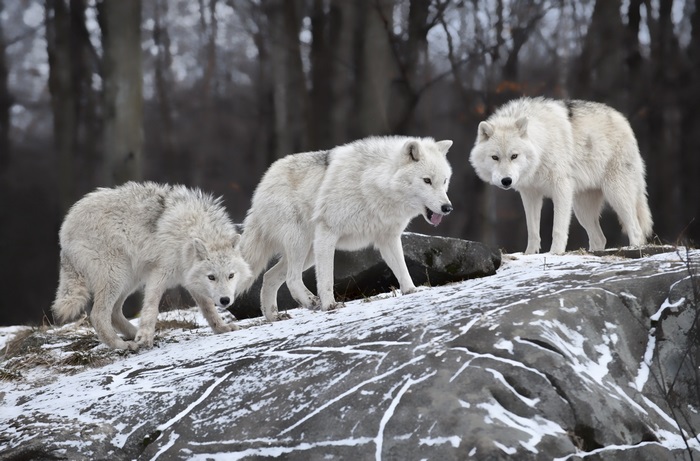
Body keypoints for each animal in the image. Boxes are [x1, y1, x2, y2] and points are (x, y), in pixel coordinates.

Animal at [52, 182, 252, 350]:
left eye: (231, 275)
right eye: (212, 277)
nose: (225, 300)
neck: (188, 233)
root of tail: (64, 229)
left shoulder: (189, 278)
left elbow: (208, 308)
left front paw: (222, 328)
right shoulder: (159, 274)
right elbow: (151, 308)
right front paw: (145, 337)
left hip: (130, 279)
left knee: (114, 313)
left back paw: (134, 335)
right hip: (117, 276)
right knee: (98, 315)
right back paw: (122, 345)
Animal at [238, 136, 453, 321]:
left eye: (444, 181)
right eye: (427, 180)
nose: (447, 208)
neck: (372, 184)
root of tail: (264, 181)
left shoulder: (388, 239)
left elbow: (402, 269)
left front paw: (411, 291)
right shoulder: (328, 233)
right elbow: (326, 278)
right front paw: (330, 305)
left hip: (309, 252)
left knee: (269, 276)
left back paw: (273, 316)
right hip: (301, 243)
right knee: (291, 278)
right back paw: (311, 302)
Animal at [469, 97, 652, 254]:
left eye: (514, 156)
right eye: (495, 157)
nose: (506, 181)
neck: (542, 145)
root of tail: (623, 119)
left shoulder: (561, 189)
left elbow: (558, 229)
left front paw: (555, 252)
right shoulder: (530, 194)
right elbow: (533, 231)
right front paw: (530, 254)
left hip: (616, 195)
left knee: (636, 229)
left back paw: (634, 248)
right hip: (582, 209)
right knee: (599, 238)